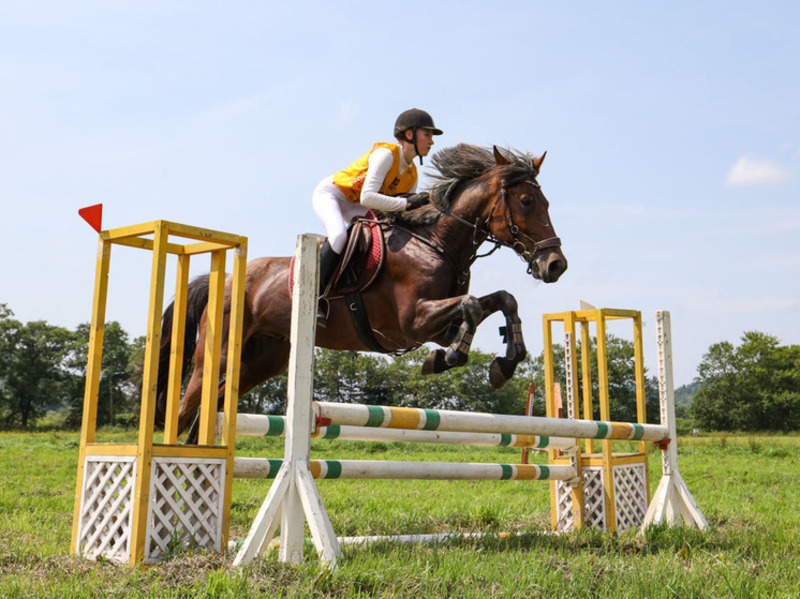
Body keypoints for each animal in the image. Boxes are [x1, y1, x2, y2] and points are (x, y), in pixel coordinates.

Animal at [156, 143, 568, 438]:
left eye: (547, 202)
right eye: (527, 201)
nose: (555, 265)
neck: (436, 243)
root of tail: (226, 279)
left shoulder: (435, 325)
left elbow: (498, 301)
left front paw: (504, 361)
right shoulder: (413, 322)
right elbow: (472, 306)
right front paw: (449, 358)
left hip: (264, 360)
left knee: (214, 405)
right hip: (219, 354)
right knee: (187, 406)